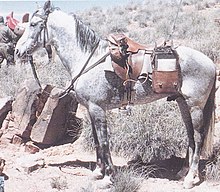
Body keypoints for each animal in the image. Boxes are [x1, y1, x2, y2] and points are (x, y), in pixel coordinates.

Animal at [15, 0, 217, 189]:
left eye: (33, 24)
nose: (17, 51)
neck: (87, 58)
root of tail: (210, 62)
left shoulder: (98, 109)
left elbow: (104, 142)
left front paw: (108, 177)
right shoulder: (90, 110)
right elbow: (97, 140)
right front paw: (98, 172)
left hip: (195, 106)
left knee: (198, 137)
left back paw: (190, 178)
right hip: (182, 103)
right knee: (190, 135)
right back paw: (183, 172)